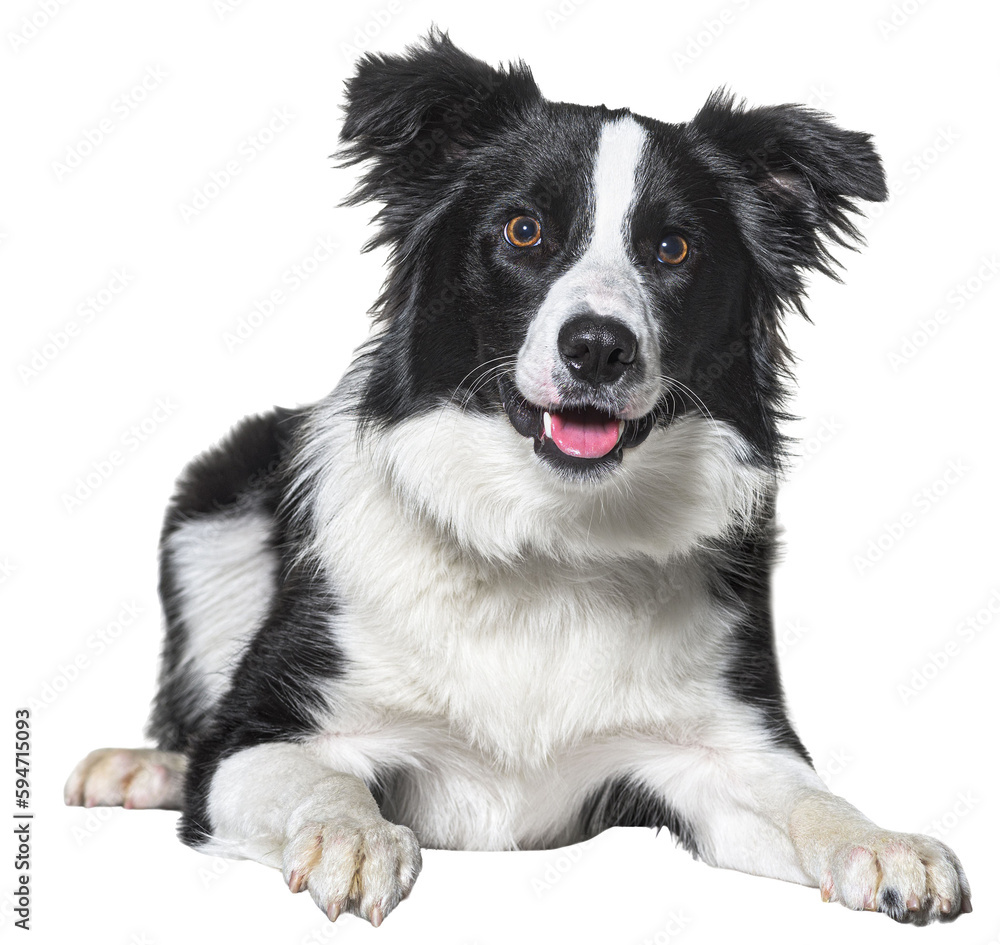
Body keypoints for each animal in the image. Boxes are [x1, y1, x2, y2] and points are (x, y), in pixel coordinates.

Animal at [64, 31, 968, 928]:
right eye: (524, 230)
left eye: (673, 248)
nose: (598, 347)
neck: (550, 533)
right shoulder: (256, 736)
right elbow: (314, 778)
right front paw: (356, 835)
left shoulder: (727, 745)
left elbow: (813, 800)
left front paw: (886, 842)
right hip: (210, 507)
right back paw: (142, 765)